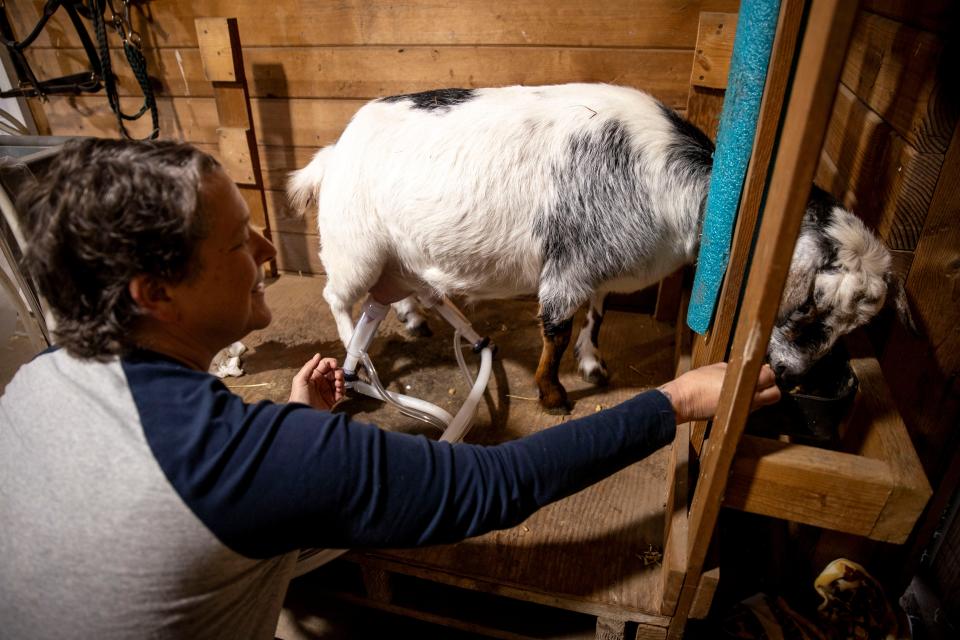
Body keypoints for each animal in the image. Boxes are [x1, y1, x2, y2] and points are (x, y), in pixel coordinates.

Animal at [288, 82, 912, 412]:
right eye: (808, 309)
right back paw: (356, 358)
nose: (838, 384)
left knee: (402, 289)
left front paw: (593, 364)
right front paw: (553, 394)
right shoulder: (567, 269)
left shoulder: (597, 268)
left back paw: (416, 319)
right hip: (353, 246)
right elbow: (556, 331)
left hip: (395, 252)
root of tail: (333, 153)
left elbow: (597, 316)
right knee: (339, 297)